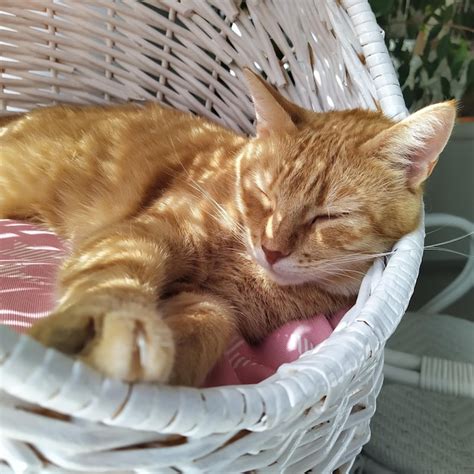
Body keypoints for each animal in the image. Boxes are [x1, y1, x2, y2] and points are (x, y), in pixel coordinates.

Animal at [0, 71, 456, 388]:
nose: (271, 250)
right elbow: (116, 277)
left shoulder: (212, 301)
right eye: (265, 194)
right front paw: (119, 324)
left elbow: (210, 323)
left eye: (328, 217)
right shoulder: (147, 232)